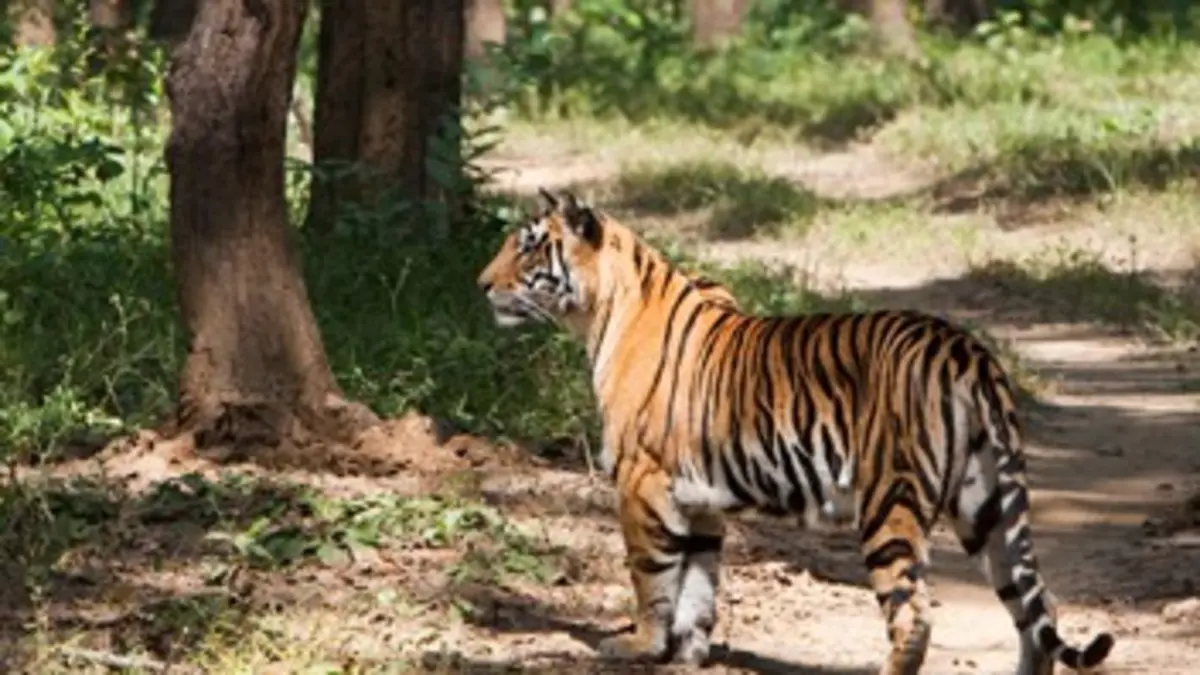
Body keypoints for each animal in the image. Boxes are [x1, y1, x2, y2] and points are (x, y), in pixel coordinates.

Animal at [475, 188, 1115, 675]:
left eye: (527, 246)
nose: (481, 284)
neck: (603, 310)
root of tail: (967, 350)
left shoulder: (642, 480)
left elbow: (650, 574)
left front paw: (637, 645)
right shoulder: (698, 499)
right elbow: (697, 585)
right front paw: (688, 654)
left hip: (891, 500)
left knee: (914, 616)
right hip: (990, 506)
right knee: (1037, 611)